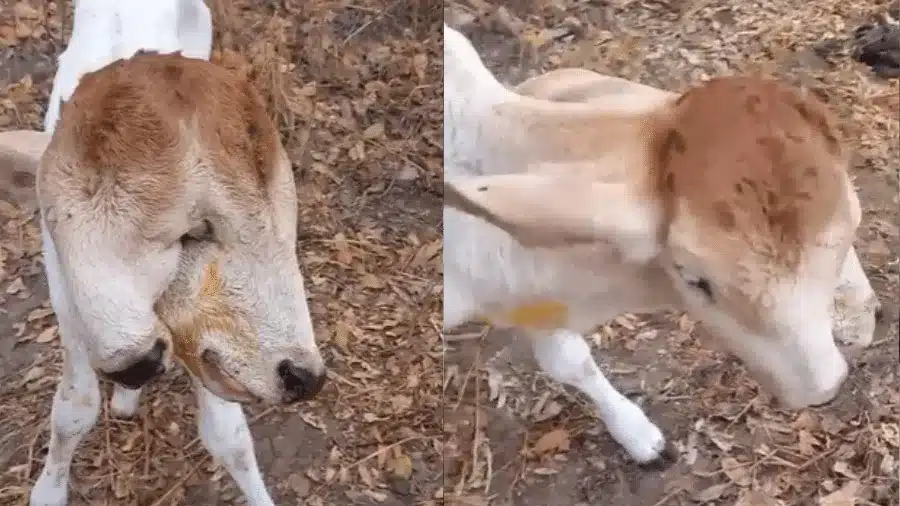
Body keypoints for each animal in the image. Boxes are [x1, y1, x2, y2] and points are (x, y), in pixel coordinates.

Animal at [0, 0, 326, 506]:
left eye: (196, 231)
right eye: (54, 225)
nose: (302, 376)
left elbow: (228, 436)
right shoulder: (69, 307)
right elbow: (73, 409)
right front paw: (48, 490)